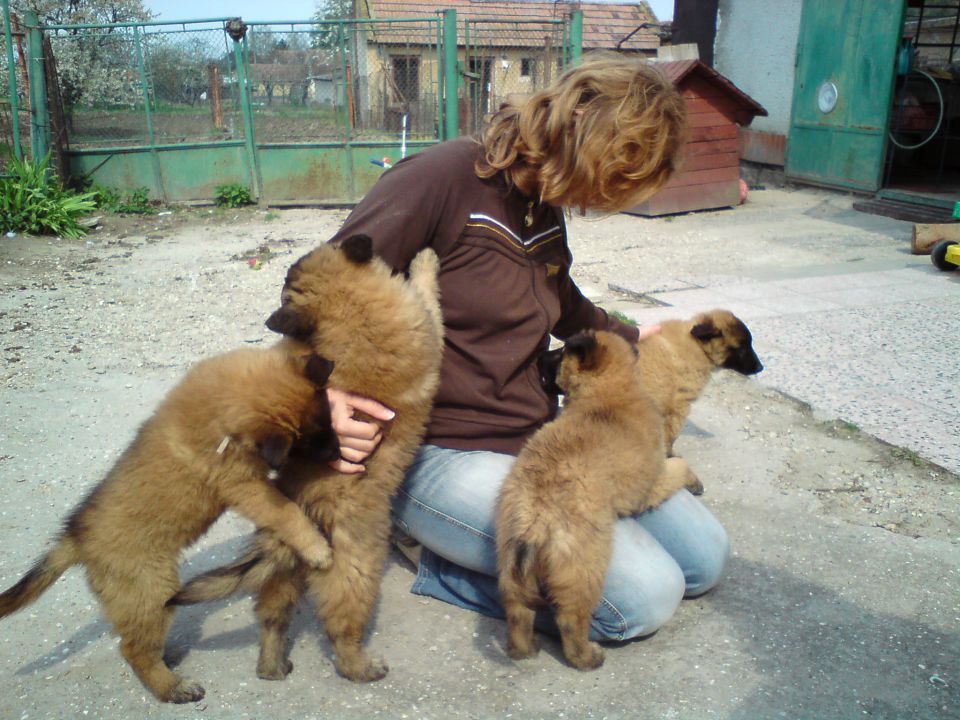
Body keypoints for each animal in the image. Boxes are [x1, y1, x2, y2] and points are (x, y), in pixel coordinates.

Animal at [172, 238, 442, 688]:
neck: (349, 311)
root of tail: (302, 508)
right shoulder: (428, 326)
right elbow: (429, 295)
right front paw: (425, 261)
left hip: (285, 574)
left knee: (272, 617)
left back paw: (271, 665)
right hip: (354, 571)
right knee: (341, 630)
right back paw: (361, 666)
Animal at [496, 330, 696, 672]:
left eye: (560, 352)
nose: (539, 356)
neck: (609, 390)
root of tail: (535, 516)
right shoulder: (652, 485)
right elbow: (679, 465)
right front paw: (694, 481)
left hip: (510, 557)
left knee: (517, 608)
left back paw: (525, 648)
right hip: (585, 565)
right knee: (570, 617)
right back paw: (586, 657)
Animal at [544, 306, 760, 492]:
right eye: (741, 347)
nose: (761, 368)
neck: (696, 346)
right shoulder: (678, 407)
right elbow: (670, 439)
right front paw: (671, 459)